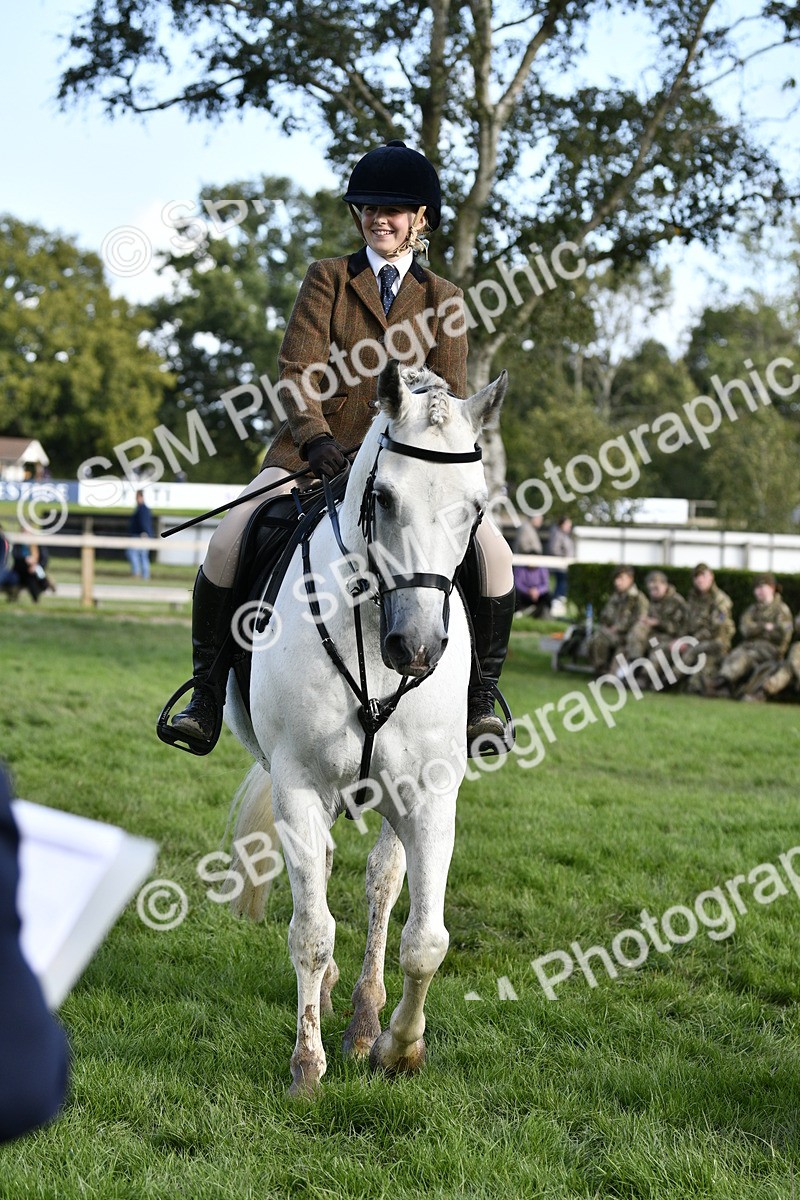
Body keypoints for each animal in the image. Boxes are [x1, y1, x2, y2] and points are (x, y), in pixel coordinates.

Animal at [224, 358, 507, 1097]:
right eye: (382, 497)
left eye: (476, 509)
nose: (417, 648)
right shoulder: (297, 783)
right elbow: (311, 929)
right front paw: (306, 1066)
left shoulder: (430, 794)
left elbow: (425, 938)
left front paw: (397, 1048)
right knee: (322, 874)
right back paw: (328, 1003)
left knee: (382, 880)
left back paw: (363, 1018)